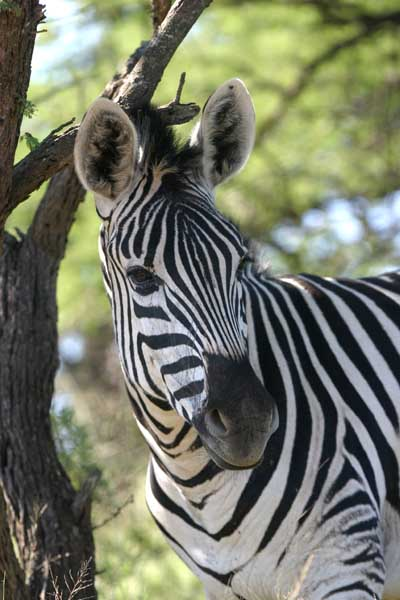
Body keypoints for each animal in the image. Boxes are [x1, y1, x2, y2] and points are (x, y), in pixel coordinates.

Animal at [74, 81, 400, 600]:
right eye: (141, 277)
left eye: (242, 263)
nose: (249, 424)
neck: (196, 477)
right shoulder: (223, 586)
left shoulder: (345, 562)